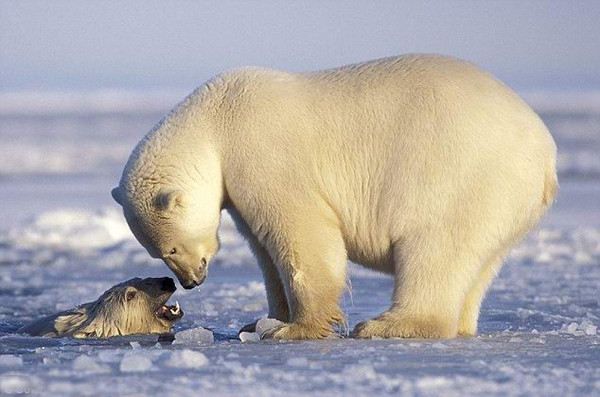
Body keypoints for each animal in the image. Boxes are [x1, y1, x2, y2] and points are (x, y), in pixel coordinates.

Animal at [112, 54, 556, 338]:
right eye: (158, 251)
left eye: (169, 248)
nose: (190, 282)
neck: (215, 119)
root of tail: (546, 152)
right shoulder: (238, 187)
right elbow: (265, 250)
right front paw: (260, 322)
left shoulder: (263, 153)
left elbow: (303, 234)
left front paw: (297, 329)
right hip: (503, 202)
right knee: (478, 263)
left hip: (461, 176)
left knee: (434, 248)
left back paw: (387, 325)